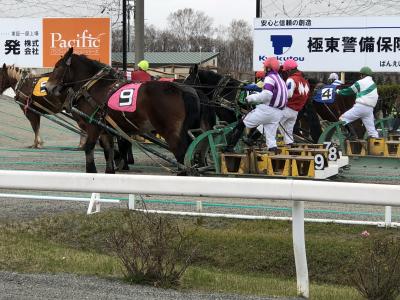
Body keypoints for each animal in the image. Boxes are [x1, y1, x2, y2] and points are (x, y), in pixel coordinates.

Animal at [45, 47, 212, 173]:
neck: (95, 87)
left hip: (171, 132)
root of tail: (184, 90)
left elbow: (89, 148)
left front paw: (92, 170)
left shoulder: (93, 126)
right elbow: (109, 151)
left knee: (181, 155)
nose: (47, 87)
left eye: (57, 67)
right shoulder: (106, 129)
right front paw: (112, 169)